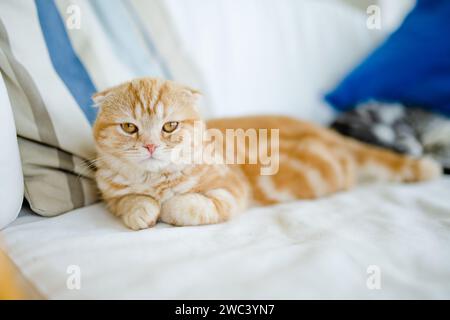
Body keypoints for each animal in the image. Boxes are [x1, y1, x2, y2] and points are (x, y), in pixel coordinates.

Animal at [93, 79, 442, 231]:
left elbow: (183, 205)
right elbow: (128, 201)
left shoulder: (232, 189)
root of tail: (330, 133)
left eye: (170, 126)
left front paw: (166, 207)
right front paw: (141, 210)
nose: (150, 146)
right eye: (129, 127)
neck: (155, 180)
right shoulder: (111, 193)